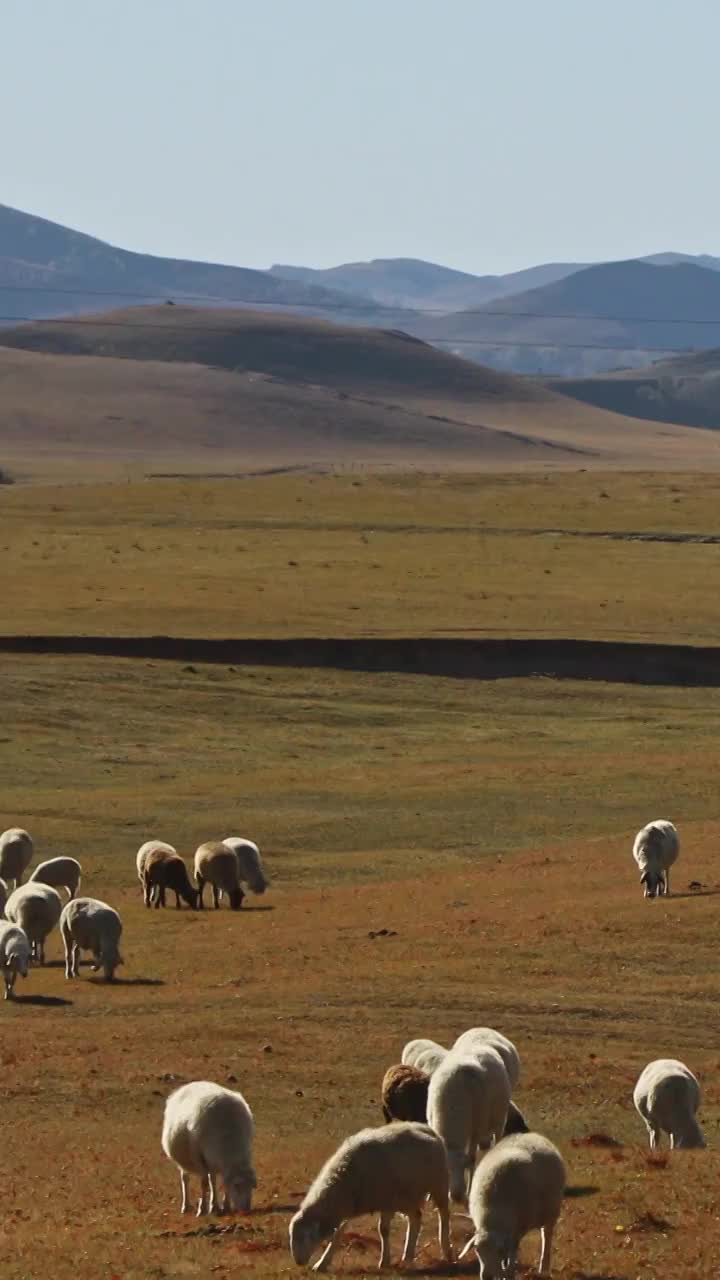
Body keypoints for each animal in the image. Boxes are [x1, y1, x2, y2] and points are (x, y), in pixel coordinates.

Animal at [160, 1085, 254, 1213]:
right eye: (237, 1186)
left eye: (252, 1187)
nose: (246, 1210)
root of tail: (184, 1087)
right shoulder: (198, 1156)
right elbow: (204, 1183)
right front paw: (203, 1208)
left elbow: (220, 1183)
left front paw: (225, 1206)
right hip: (185, 1160)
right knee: (185, 1179)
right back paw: (186, 1206)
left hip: (210, 1160)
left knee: (211, 1179)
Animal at [285, 1121, 448, 1269]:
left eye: (306, 1237)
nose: (298, 1262)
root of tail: (425, 1127)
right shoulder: (351, 1204)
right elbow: (340, 1233)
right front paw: (322, 1263)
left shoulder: (387, 1199)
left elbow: (383, 1230)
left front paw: (385, 1260)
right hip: (407, 1196)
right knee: (416, 1219)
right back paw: (408, 1256)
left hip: (438, 1185)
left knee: (442, 1215)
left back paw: (446, 1251)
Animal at [425, 1044, 509, 1203]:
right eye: (446, 1170)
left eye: (463, 1167)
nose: (456, 1196)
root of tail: (481, 1045)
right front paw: (429, 1195)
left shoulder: (475, 1132)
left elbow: (472, 1159)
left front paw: (469, 1192)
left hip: (499, 1120)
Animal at [458, 1136, 566, 1274]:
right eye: (477, 1250)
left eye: (498, 1251)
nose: (487, 1276)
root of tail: (535, 1135)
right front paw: (504, 1269)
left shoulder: (518, 1228)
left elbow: (513, 1251)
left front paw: (509, 1271)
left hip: (551, 1212)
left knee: (546, 1237)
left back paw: (544, 1268)